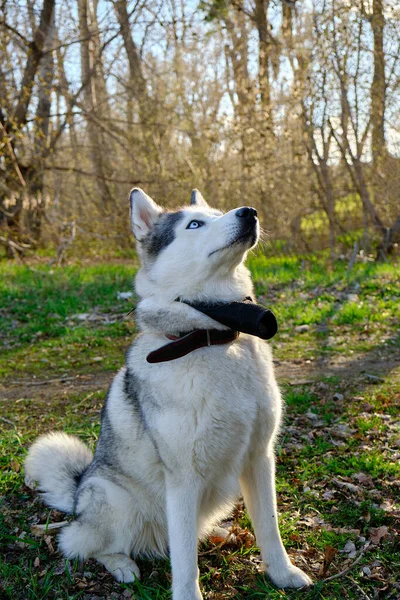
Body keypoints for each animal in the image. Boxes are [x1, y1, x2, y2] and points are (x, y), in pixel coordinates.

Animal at [25, 190, 312, 600]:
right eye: (194, 224)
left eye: (217, 213)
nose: (249, 212)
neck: (213, 339)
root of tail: (79, 490)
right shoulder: (183, 479)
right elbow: (185, 560)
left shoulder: (260, 458)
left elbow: (269, 528)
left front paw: (282, 573)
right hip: (117, 501)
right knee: (82, 544)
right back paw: (122, 564)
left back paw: (218, 532)